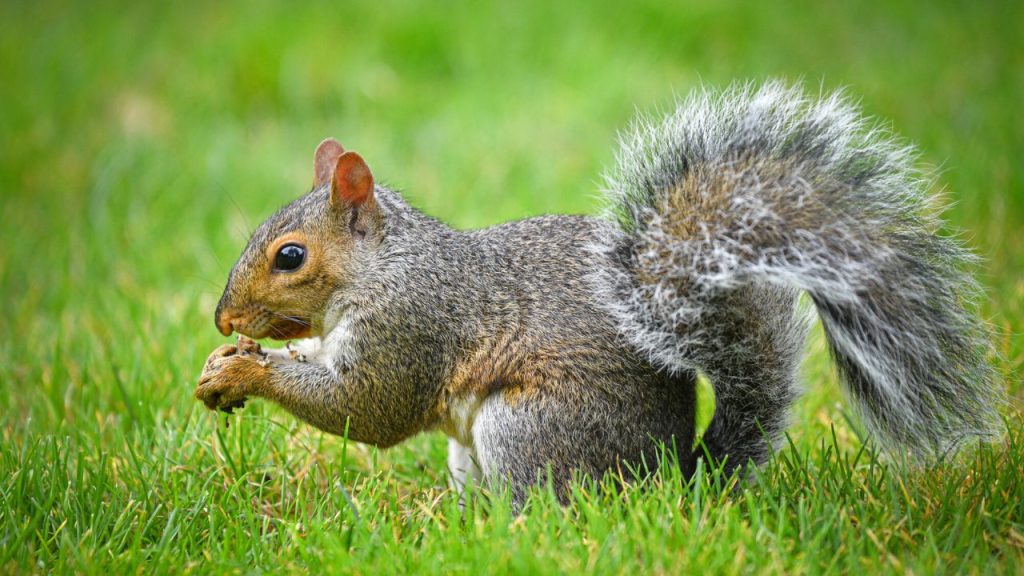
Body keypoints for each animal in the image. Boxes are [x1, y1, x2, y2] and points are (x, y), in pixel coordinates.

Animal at [196, 82, 1004, 505]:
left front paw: (246, 372)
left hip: (529, 428)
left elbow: (367, 408)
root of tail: (672, 481)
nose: (224, 318)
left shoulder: (414, 325)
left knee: (547, 509)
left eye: (290, 255)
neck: (387, 266)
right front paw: (225, 365)